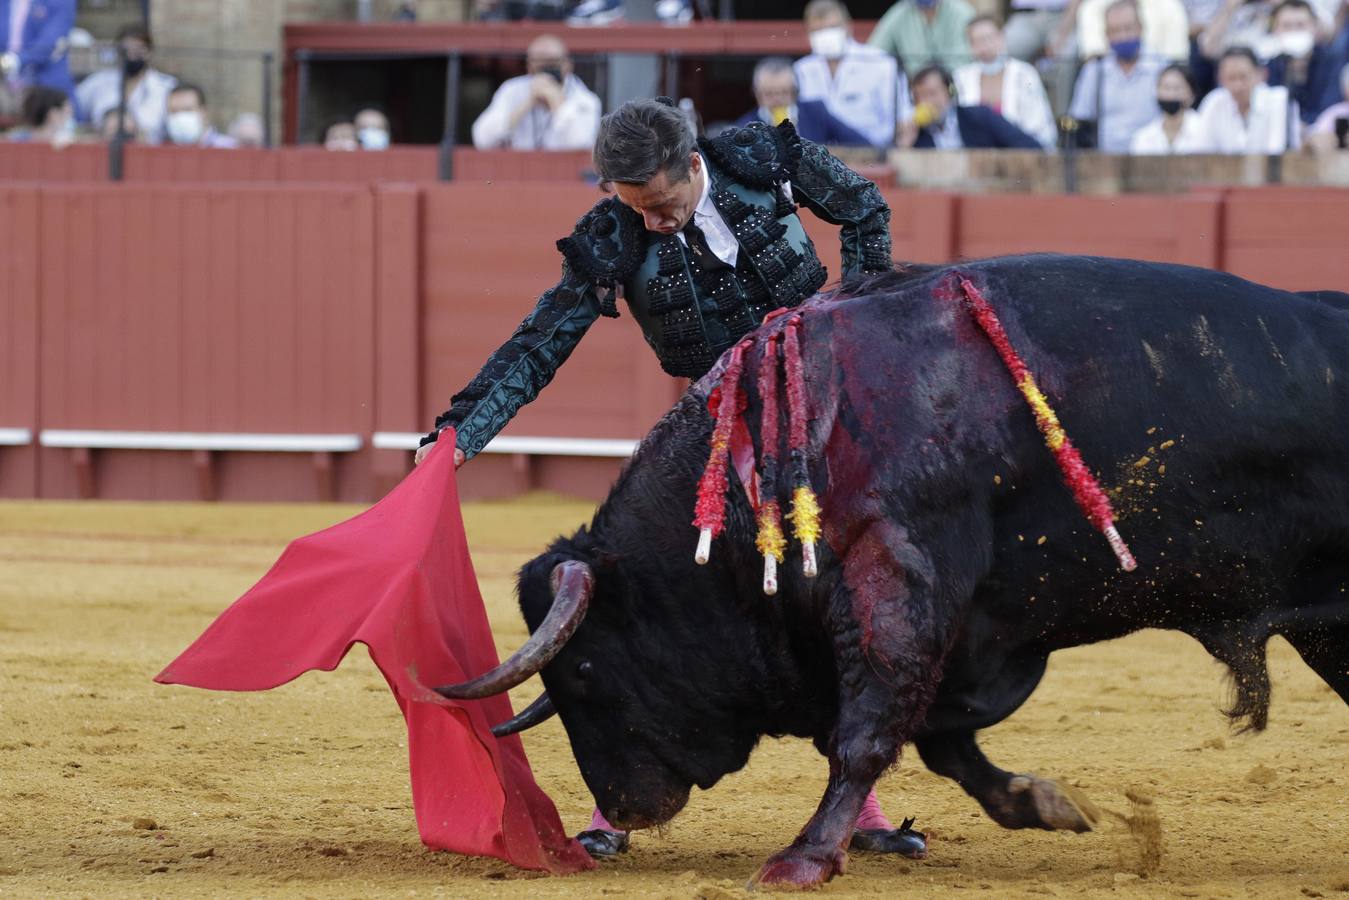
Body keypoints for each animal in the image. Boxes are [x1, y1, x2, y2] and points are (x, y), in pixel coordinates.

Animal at [437, 253, 1343, 885]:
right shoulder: (960, 628)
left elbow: (866, 731)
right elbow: (941, 742)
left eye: (586, 673)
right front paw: (1043, 804)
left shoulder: (898, 575)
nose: (621, 808)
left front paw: (801, 859)